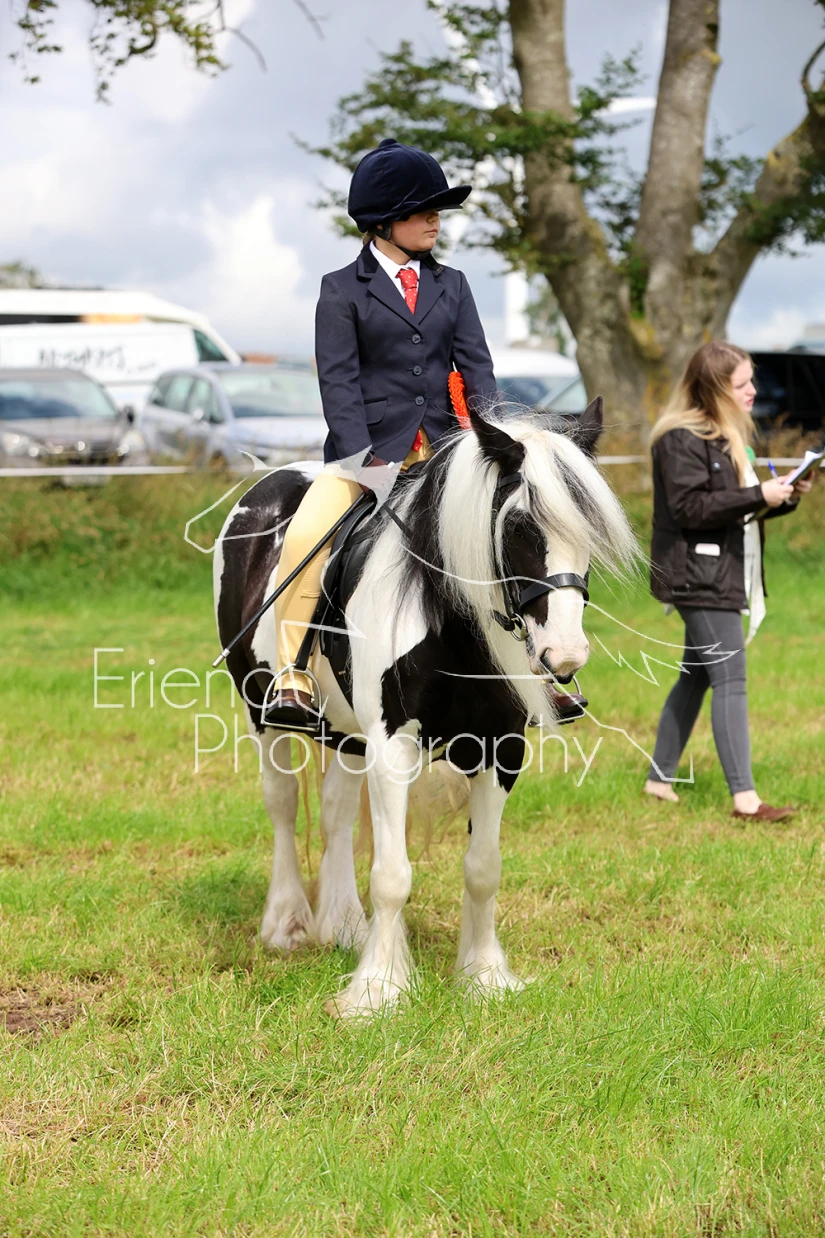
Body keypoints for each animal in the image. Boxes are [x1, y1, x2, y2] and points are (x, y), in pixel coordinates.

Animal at [213, 400, 638, 1017]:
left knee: (337, 811)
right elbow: (392, 874)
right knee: (283, 804)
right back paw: (287, 923)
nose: (565, 656)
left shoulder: (501, 750)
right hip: (261, 709)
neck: (450, 623)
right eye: (520, 526)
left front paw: (483, 976)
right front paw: (377, 991)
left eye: (587, 528)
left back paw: (345, 927)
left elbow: (483, 869)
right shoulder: (392, 747)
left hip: (349, 736)